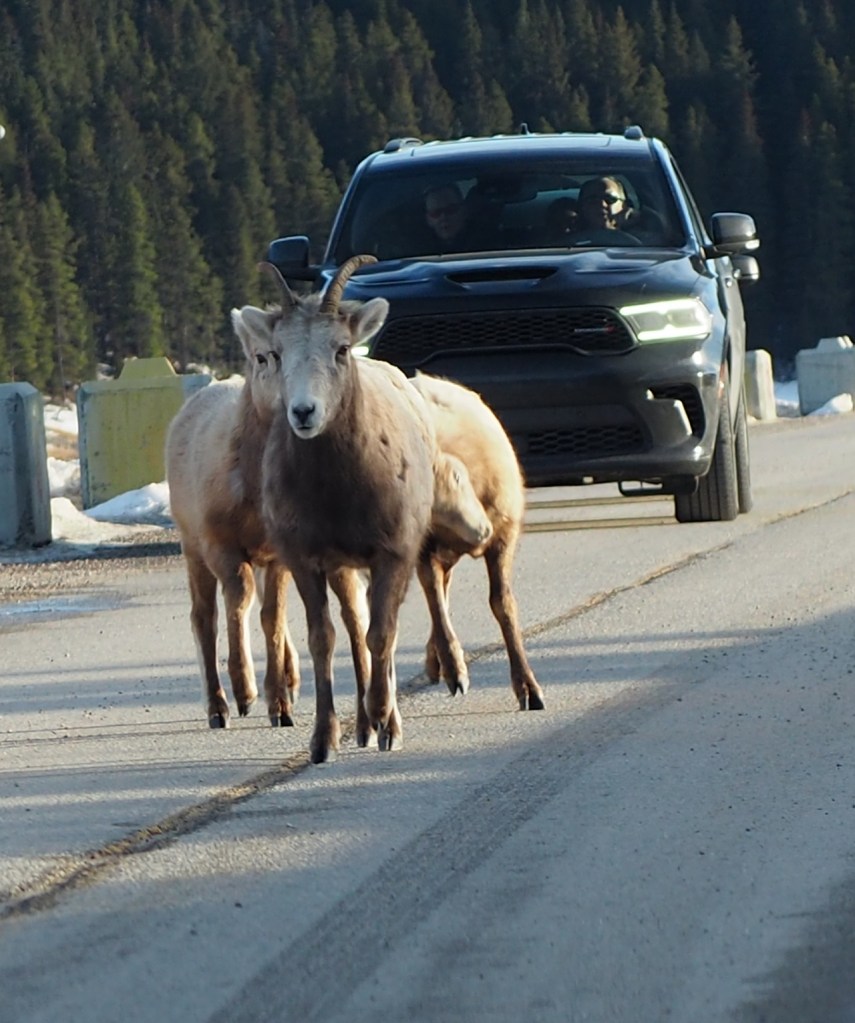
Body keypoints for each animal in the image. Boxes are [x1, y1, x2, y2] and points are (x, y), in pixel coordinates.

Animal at [233, 255, 442, 763]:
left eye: (342, 349)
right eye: (277, 353)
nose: (304, 412)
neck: (337, 492)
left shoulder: (392, 555)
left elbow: (382, 634)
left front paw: (386, 722)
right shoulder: (306, 561)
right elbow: (324, 639)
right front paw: (323, 740)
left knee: (376, 631)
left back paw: (380, 724)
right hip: (344, 569)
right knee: (353, 625)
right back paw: (362, 727)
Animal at [411, 372, 545, 711]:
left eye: (459, 479)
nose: (480, 533)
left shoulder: (503, 535)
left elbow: (503, 604)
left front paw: (527, 686)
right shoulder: (423, 549)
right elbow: (436, 604)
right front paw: (454, 670)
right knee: (438, 596)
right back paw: (441, 662)